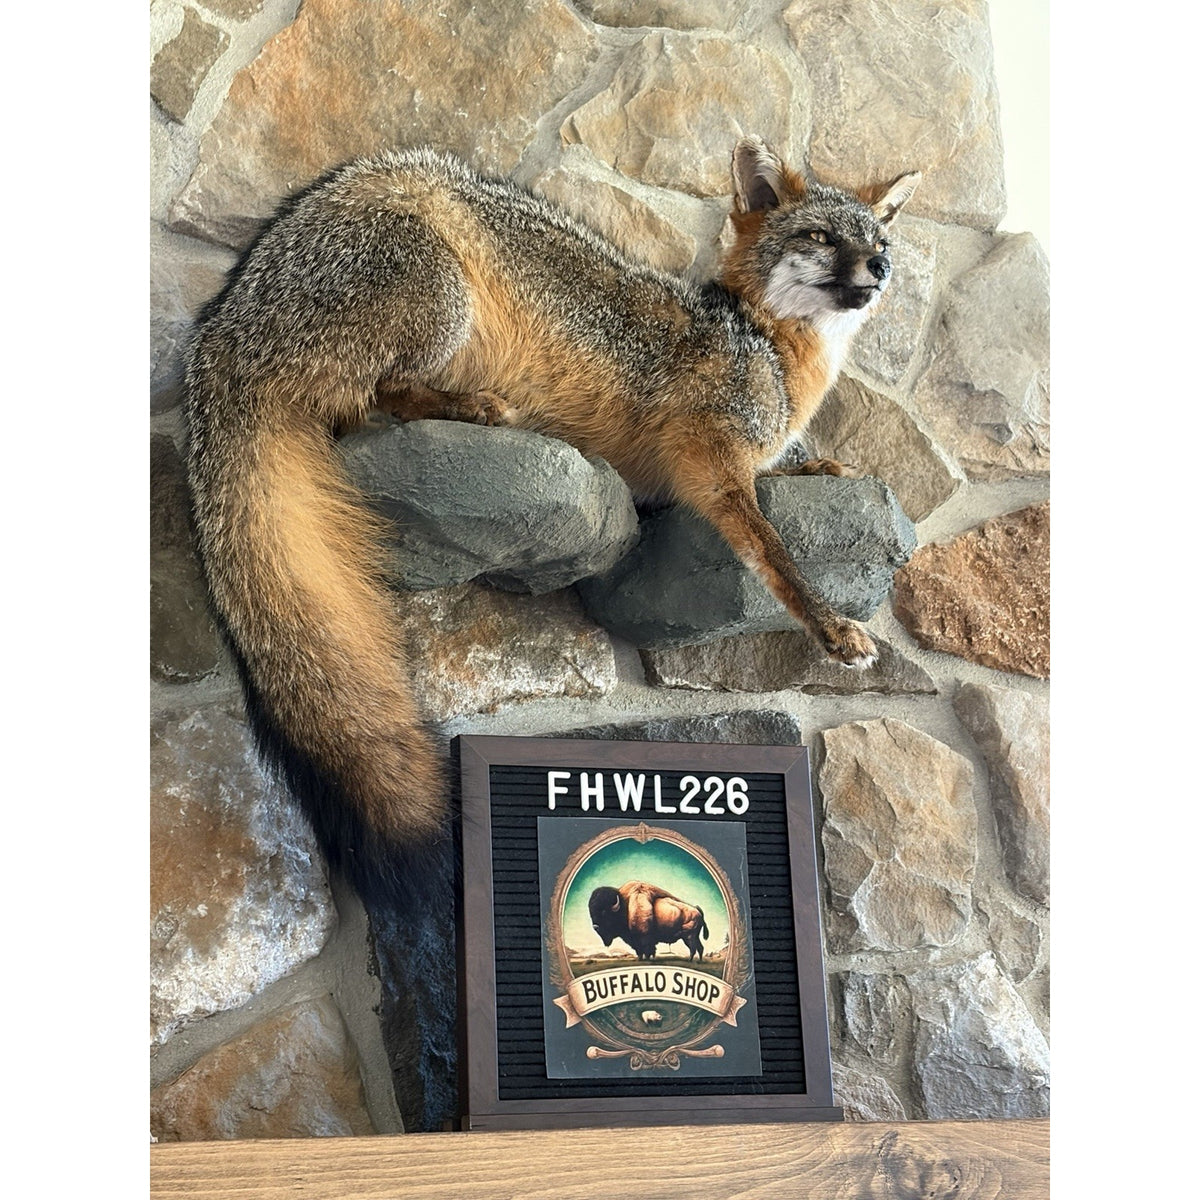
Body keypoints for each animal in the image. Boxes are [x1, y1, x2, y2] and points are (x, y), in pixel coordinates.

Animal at [184, 137, 919, 899]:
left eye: (879, 241)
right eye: (822, 237)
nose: (881, 269)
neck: (768, 347)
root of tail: (221, 324)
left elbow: (784, 475)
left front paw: (820, 465)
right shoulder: (708, 461)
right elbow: (772, 549)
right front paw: (829, 625)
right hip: (442, 297)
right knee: (375, 395)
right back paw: (474, 407)